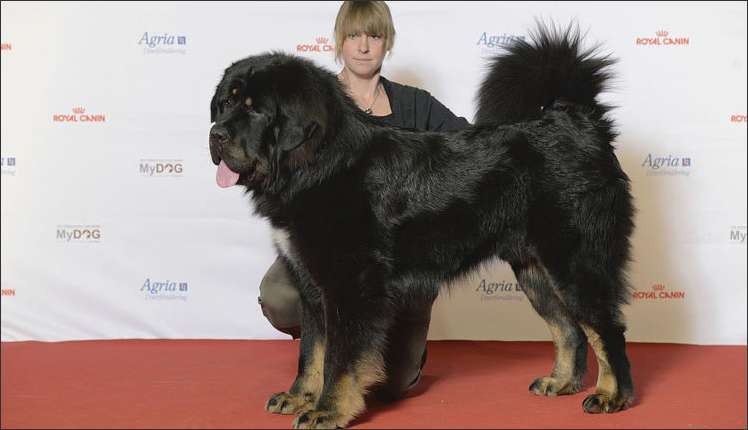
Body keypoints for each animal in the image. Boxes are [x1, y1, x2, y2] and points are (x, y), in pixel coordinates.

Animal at [210, 25, 636, 428]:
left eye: (256, 111)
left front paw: (328, 411)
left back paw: (613, 396)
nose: (216, 134)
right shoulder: (311, 286)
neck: (316, 166)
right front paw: (300, 396)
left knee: (607, 328)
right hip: (534, 271)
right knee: (569, 329)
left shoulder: (349, 285)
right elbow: (311, 352)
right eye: (227, 103)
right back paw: (561, 382)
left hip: (575, 263)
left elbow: (339, 360)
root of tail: (577, 119)